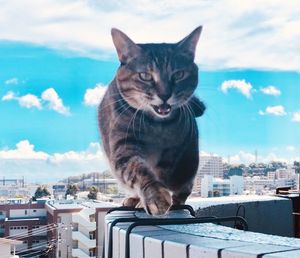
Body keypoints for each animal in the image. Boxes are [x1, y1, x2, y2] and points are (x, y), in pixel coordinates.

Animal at [97, 26, 205, 216]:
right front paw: (154, 196)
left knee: (184, 187)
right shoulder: (123, 146)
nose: (165, 95)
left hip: (188, 162)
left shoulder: (171, 154)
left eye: (179, 74)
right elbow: (137, 170)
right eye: (145, 76)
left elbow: (161, 174)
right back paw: (134, 199)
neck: (155, 125)